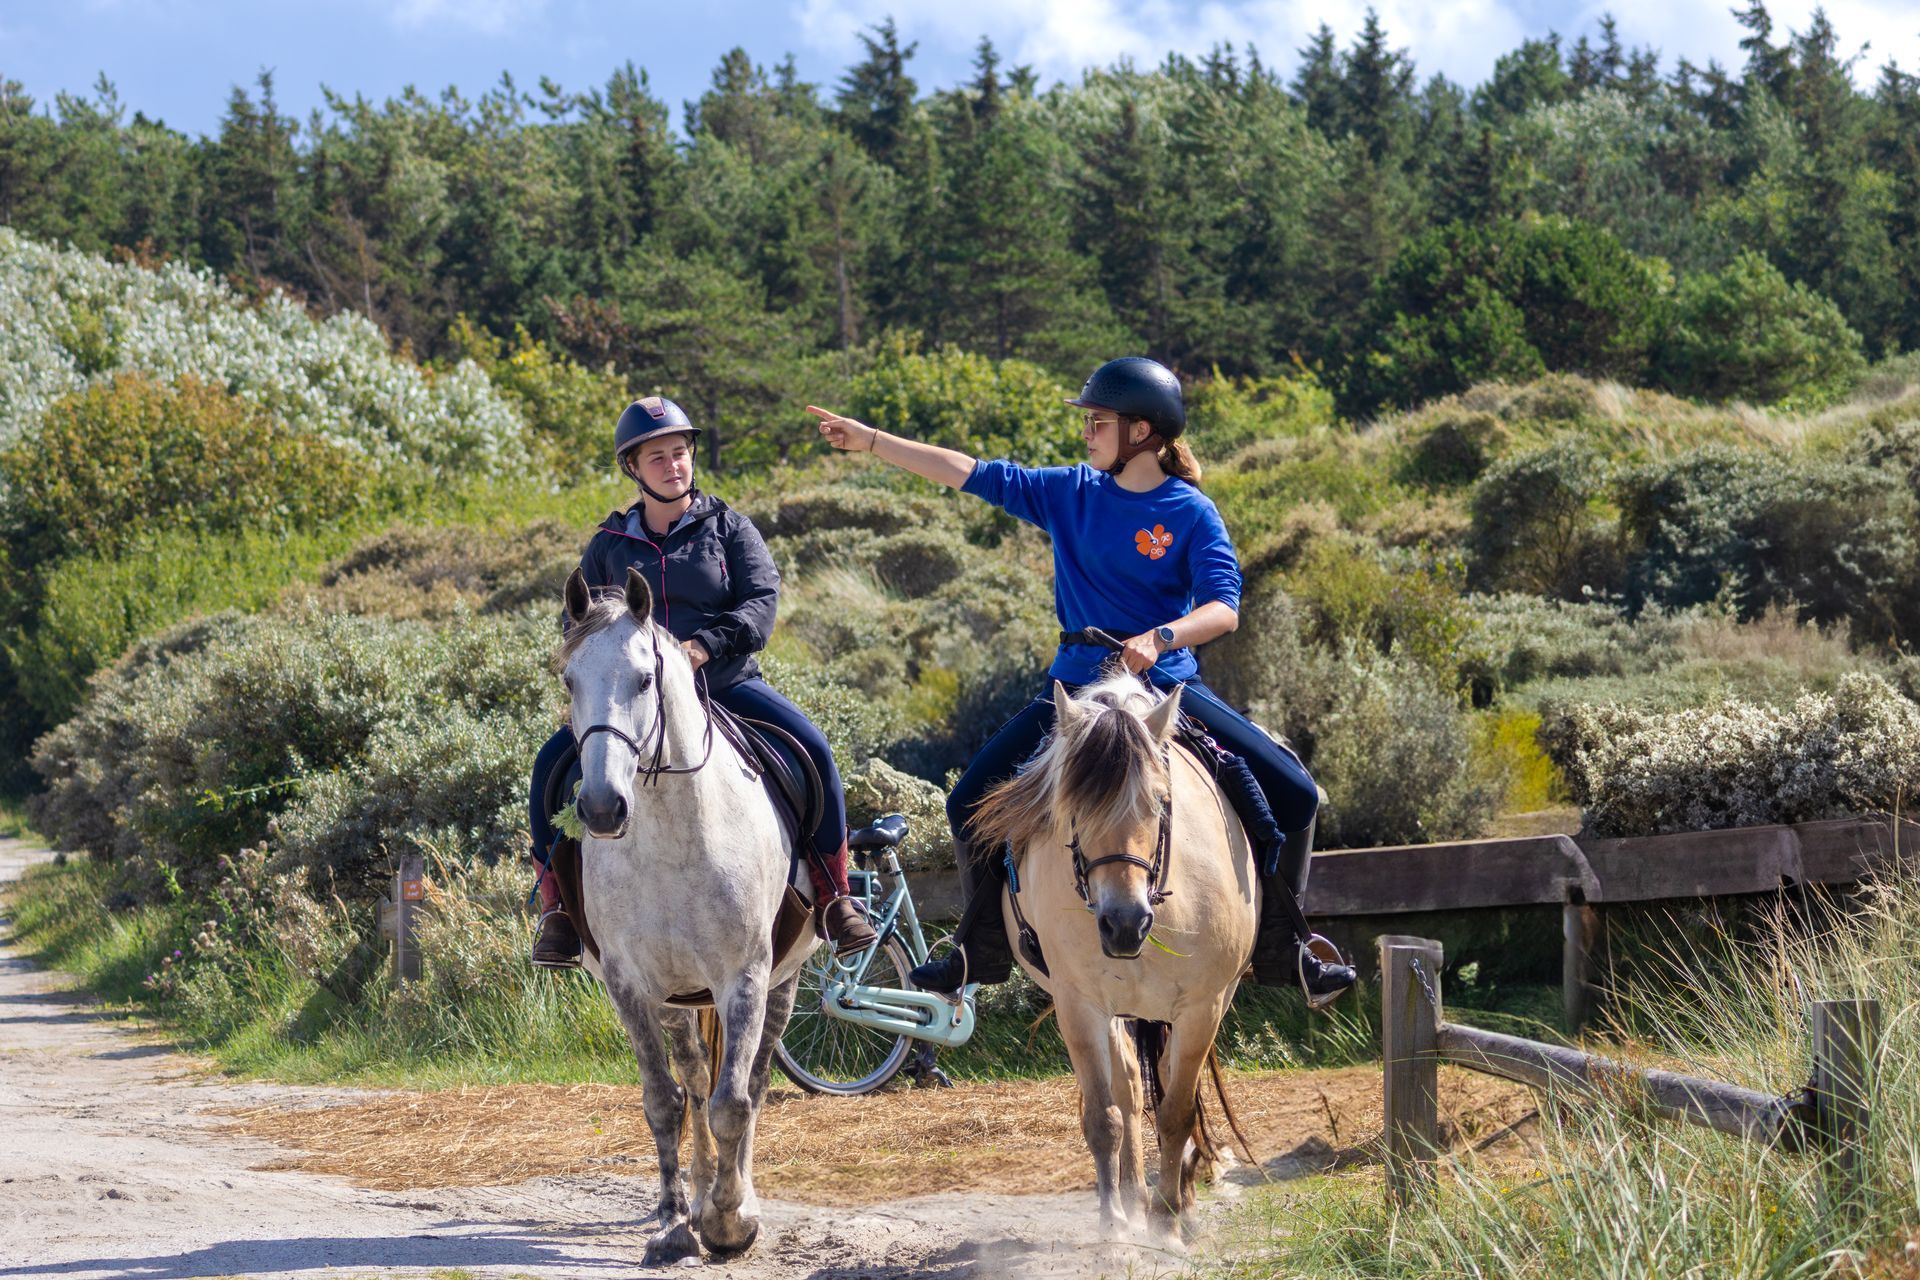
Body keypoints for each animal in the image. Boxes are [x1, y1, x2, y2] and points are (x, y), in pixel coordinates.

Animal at [558, 564, 811, 1265]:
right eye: (569, 681)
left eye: (645, 679)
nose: (601, 808)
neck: (674, 835)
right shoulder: (630, 985)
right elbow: (664, 1103)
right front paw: (675, 1223)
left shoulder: (744, 978)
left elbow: (734, 1103)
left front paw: (730, 1221)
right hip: (677, 999)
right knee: (695, 1079)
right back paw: (696, 1197)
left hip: (782, 981)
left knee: (751, 1082)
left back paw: (735, 1196)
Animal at [970, 671, 1258, 1238]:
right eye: (1072, 807)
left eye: (1160, 801)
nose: (1124, 924)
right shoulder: (1079, 1005)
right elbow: (1105, 1117)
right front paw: (1115, 1230)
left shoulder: (1203, 1008)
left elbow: (1176, 1112)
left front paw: (1169, 1222)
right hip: (1115, 1009)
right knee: (1128, 1088)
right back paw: (1134, 1197)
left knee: (1166, 1086)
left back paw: (1177, 1202)